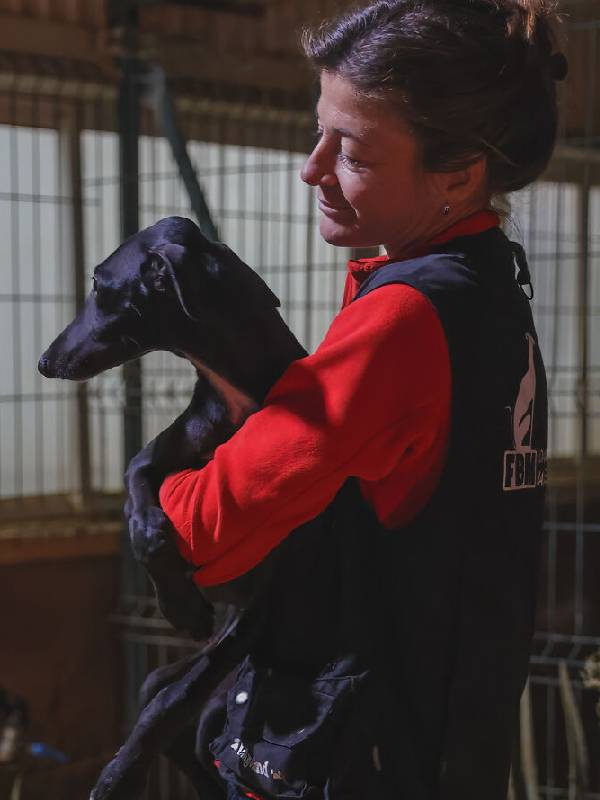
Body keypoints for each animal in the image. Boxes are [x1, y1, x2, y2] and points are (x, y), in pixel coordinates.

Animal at [37, 216, 310, 796]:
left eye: (100, 286)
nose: (44, 363)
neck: (234, 395)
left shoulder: (258, 608)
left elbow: (172, 704)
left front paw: (118, 775)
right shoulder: (159, 453)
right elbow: (138, 502)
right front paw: (177, 603)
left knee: (171, 703)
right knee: (160, 700)